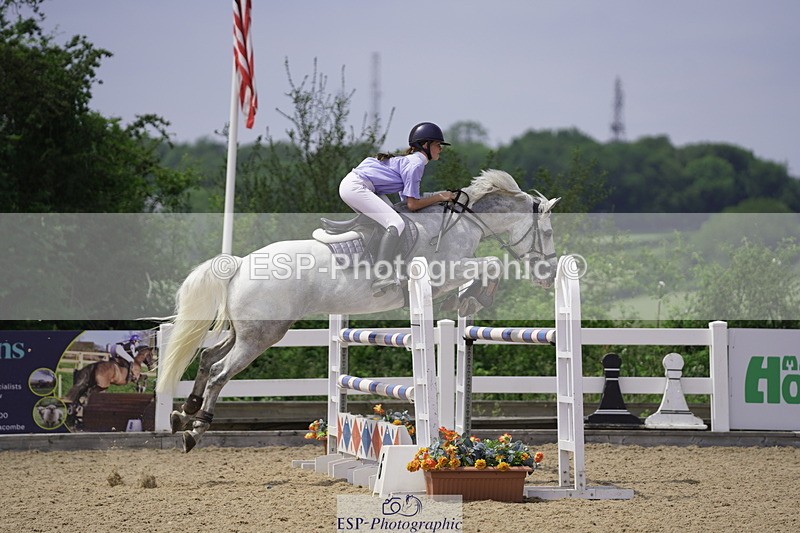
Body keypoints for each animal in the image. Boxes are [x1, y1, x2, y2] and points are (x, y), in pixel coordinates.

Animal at [156, 169, 560, 452]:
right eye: (548, 233)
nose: (550, 276)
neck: (463, 224)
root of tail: (239, 264)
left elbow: (484, 269)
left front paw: (466, 299)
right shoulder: (439, 273)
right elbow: (491, 264)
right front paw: (475, 296)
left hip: (245, 330)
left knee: (208, 356)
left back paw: (184, 410)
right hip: (262, 334)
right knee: (220, 371)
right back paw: (195, 430)